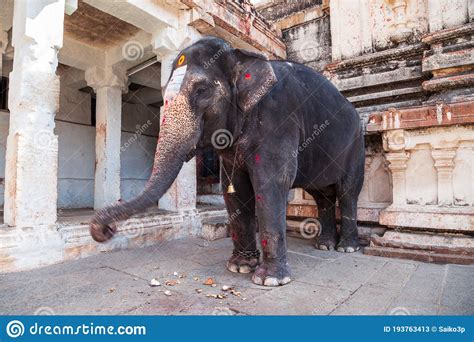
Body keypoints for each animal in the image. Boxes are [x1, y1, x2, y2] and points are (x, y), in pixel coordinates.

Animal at [89, 36, 364, 286]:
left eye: (201, 91)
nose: (106, 230)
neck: (241, 56)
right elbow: (235, 190)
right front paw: (240, 267)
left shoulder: (279, 120)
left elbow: (271, 184)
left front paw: (270, 280)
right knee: (323, 195)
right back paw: (325, 245)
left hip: (356, 144)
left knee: (348, 191)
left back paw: (347, 248)